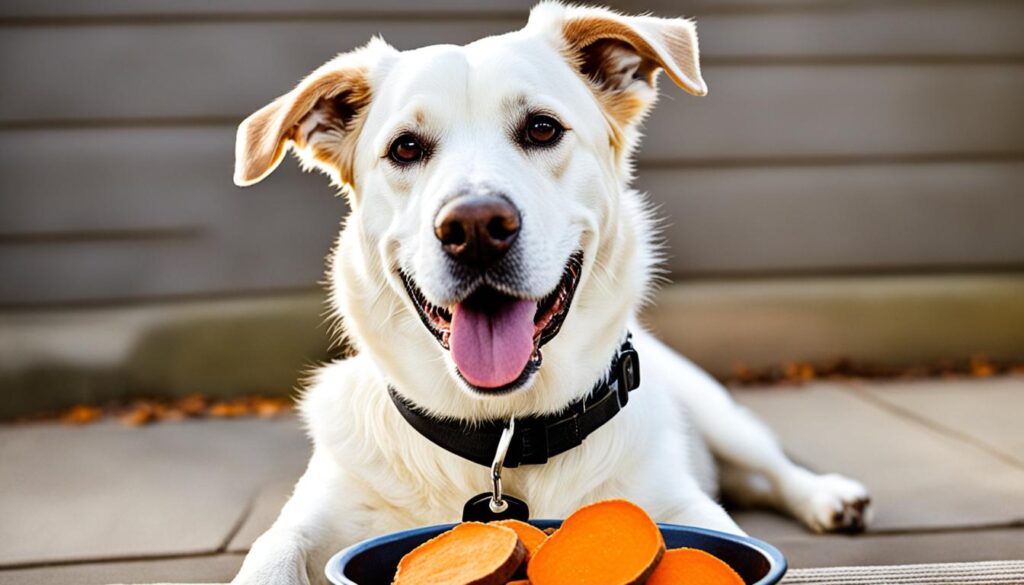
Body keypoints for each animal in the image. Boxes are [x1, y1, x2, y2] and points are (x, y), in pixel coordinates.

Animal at [228, 2, 868, 581]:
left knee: (771, 466)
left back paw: (829, 497)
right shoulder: (311, 516)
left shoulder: (686, 509)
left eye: (542, 128)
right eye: (405, 147)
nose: (475, 227)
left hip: (716, 408)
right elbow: (271, 554)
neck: (503, 436)